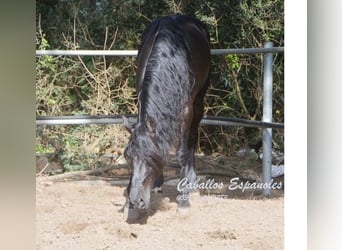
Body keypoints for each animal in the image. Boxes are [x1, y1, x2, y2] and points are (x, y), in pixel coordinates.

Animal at [121, 13, 210, 209]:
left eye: (150, 158)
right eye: (128, 157)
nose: (136, 201)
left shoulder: (186, 111)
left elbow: (182, 153)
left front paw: (183, 201)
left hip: (199, 100)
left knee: (192, 136)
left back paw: (192, 181)